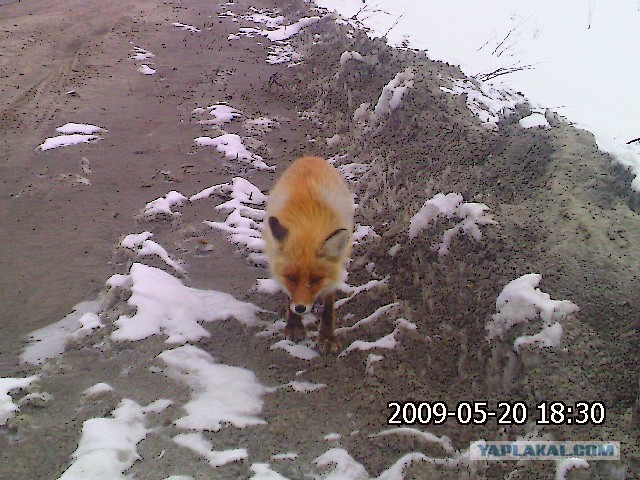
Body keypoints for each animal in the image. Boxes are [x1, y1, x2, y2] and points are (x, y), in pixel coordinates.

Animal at [262, 156, 354, 354]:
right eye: (291, 277)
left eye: (316, 279)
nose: (300, 308)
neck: (308, 226)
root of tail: (310, 157)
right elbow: (289, 295)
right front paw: (294, 325)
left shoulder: (334, 271)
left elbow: (328, 305)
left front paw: (327, 336)